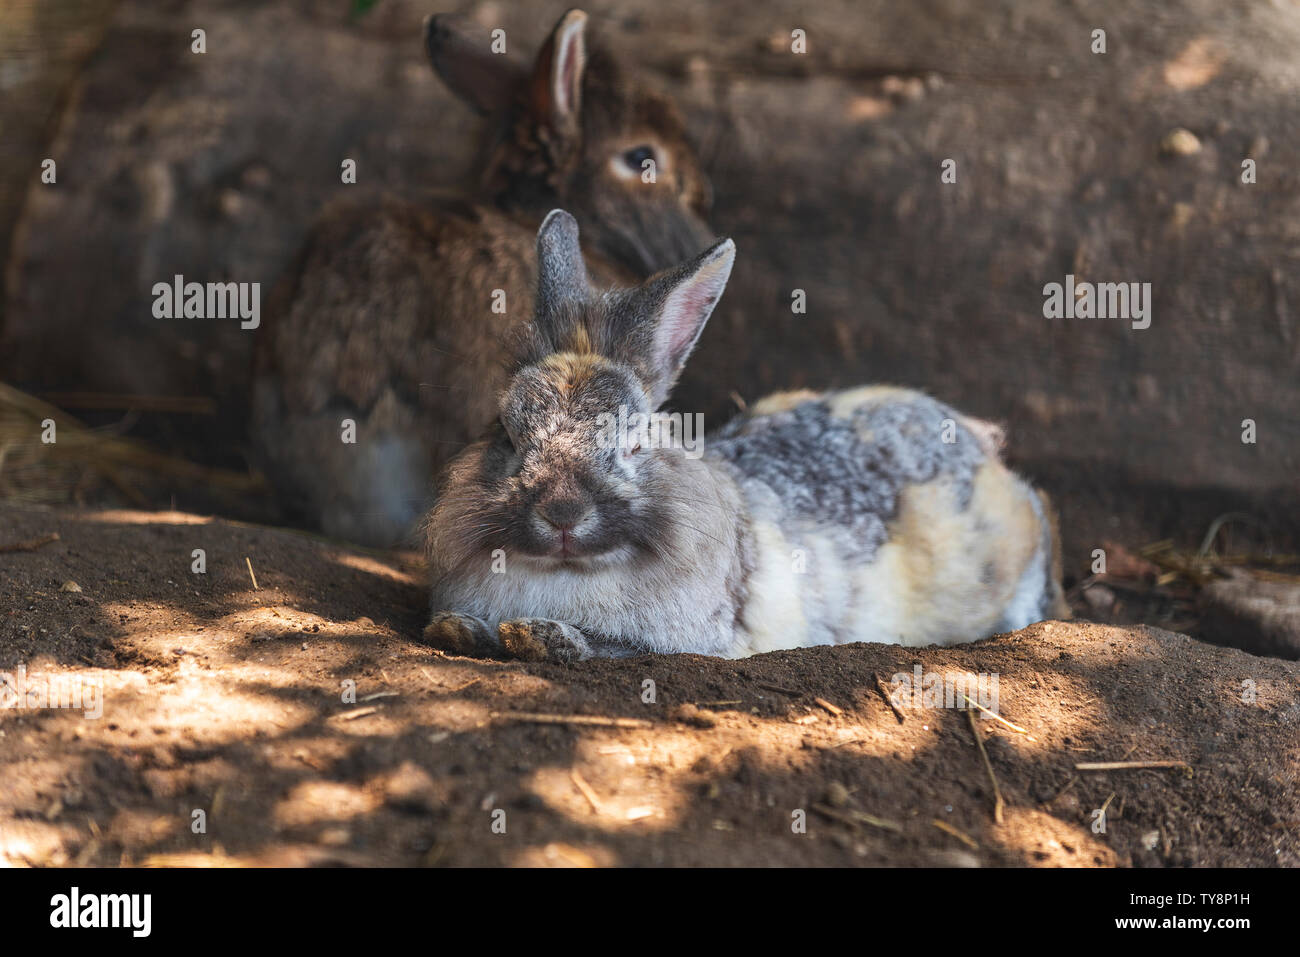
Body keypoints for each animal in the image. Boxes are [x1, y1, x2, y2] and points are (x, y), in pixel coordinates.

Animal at [421, 210, 1070, 661]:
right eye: (508, 434)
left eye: (634, 443)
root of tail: (983, 449)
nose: (561, 513)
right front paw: (459, 629)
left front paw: (542, 637)